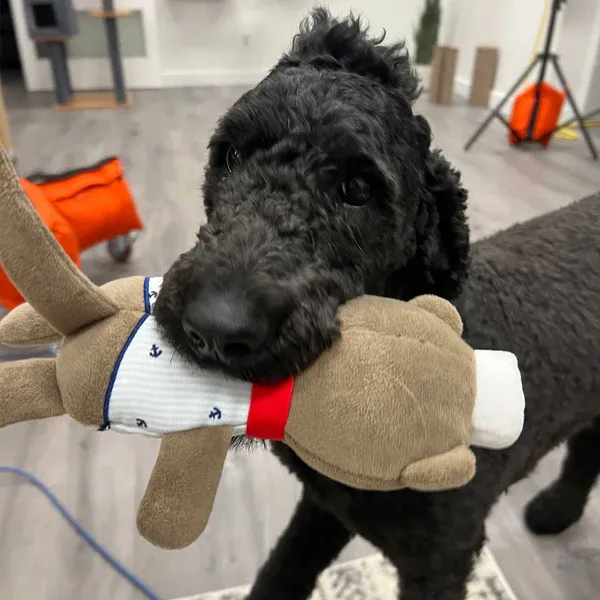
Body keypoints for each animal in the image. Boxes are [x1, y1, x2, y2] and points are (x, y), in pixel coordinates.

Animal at [155, 9, 600, 600]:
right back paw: (557, 511)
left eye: (359, 190)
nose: (214, 329)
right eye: (231, 155)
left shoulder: (441, 560)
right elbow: (280, 571)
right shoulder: (325, 507)